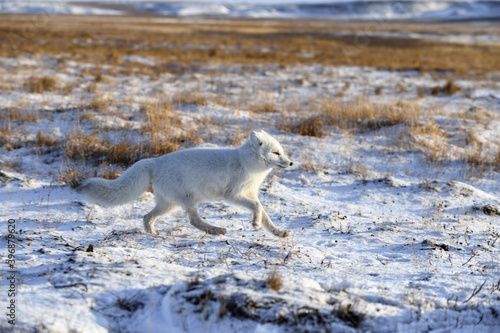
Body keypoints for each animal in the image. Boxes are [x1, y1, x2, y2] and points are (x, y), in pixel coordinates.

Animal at [77, 129, 292, 236]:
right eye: (276, 153)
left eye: (282, 151)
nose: (290, 163)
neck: (247, 163)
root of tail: (155, 161)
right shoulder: (232, 194)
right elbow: (257, 208)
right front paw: (255, 223)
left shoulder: (249, 194)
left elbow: (264, 212)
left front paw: (277, 232)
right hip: (187, 201)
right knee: (193, 220)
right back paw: (216, 231)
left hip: (168, 204)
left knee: (147, 217)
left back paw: (153, 234)